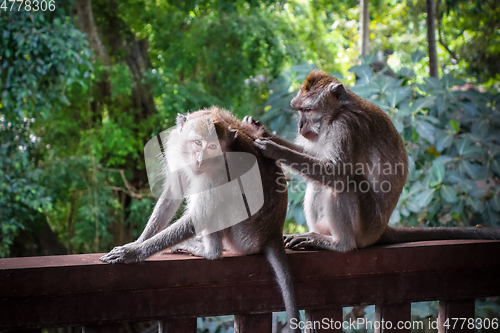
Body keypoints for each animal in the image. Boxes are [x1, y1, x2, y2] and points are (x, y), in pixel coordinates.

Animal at [99, 106, 298, 330]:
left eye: (212, 146)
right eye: (197, 143)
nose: (201, 160)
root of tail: (273, 233)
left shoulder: (220, 170)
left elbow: (200, 214)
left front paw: (133, 252)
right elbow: (173, 192)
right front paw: (139, 241)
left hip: (244, 236)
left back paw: (208, 251)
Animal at [244, 70, 500, 252]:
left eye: (307, 110)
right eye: (298, 111)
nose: (299, 125)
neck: (337, 113)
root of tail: (381, 230)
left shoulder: (345, 128)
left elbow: (337, 173)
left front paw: (273, 149)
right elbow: (317, 160)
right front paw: (260, 130)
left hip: (366, 227)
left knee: (346, 183)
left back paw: (340, 244)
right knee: (318, 183)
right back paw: (322, 235)